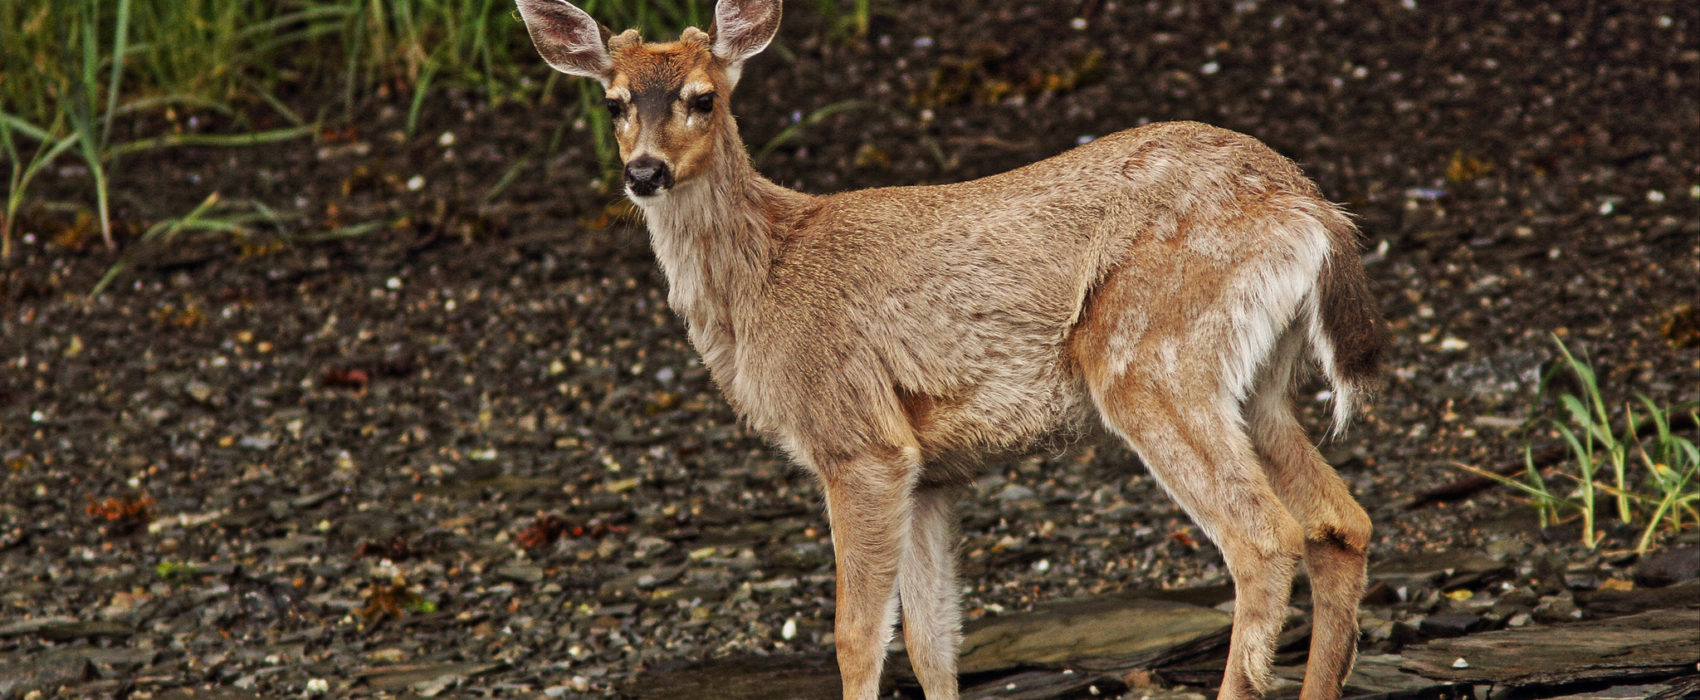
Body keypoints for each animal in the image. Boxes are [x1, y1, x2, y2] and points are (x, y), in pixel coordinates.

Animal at [514, 0, 1387, 698]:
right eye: (614, 102)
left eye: (704, 97)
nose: (644, 171)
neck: (765, 285)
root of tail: (1312, 209)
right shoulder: (932, 471)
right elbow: (934, 642)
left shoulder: (860, 441)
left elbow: (857, 637)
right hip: (1255, 384)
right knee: (1340, 523)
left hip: (1150, 357)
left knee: (1264, 538)